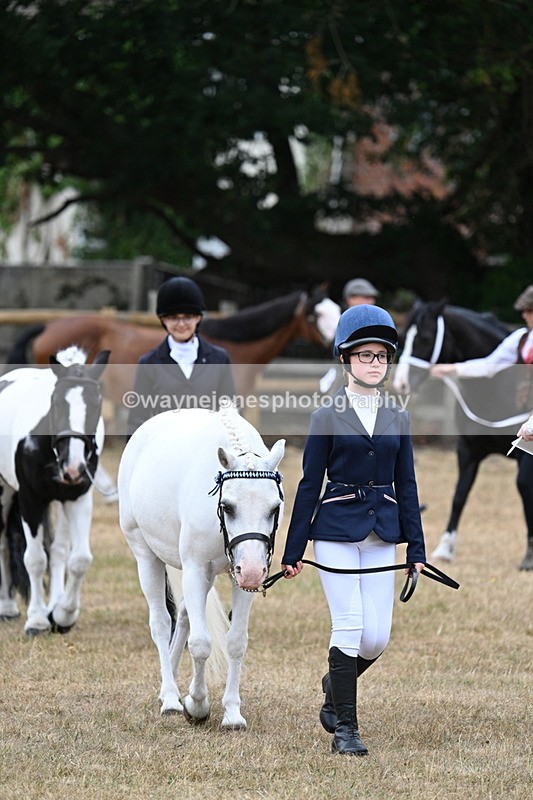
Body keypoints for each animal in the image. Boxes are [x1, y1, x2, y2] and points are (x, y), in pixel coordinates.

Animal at [0, 346, 109, 635]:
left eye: (96, 404)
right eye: (58, 403)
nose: (74, 466)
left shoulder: (78, 497)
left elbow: (78, 558)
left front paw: (62, 615)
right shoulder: (30, 499)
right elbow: (35, 559)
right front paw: (37, 620)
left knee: (59, 550)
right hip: (4, 492)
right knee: (3, 541)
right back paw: (7, 607)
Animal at [118, 403, 285, 730]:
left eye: (274, 508)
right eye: (227, 506)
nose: (252, 571)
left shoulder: (239, 579)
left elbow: (236, 642)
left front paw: (232, 713)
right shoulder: (195, 569)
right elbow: (200, 643)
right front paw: (197, 705)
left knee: (183, 615)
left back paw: (167, 686)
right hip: (146, 555)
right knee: (161, 623)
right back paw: (171, 699)